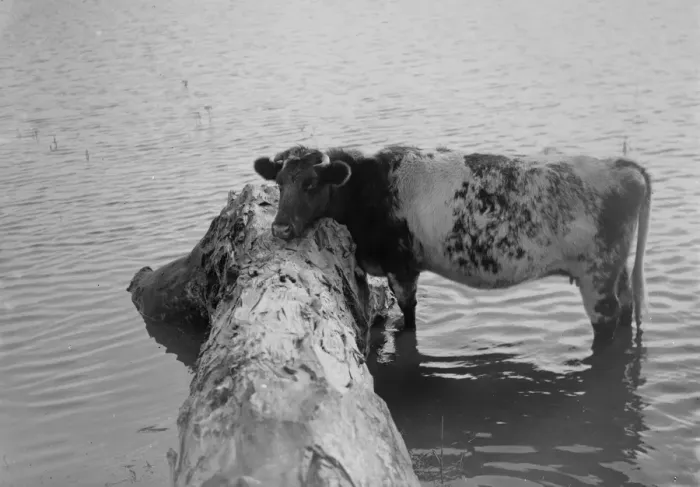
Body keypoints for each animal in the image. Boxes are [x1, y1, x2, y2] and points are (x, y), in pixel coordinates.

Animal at [252, 144, 652, 345]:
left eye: (310, 185)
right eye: (280, 183)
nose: (281, 228)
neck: (368, 187)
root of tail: (622, 165)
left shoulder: (402, 267)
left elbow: (409, 316)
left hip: (597, 277)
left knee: (610, 321)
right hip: (614, 271)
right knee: (627, 305)